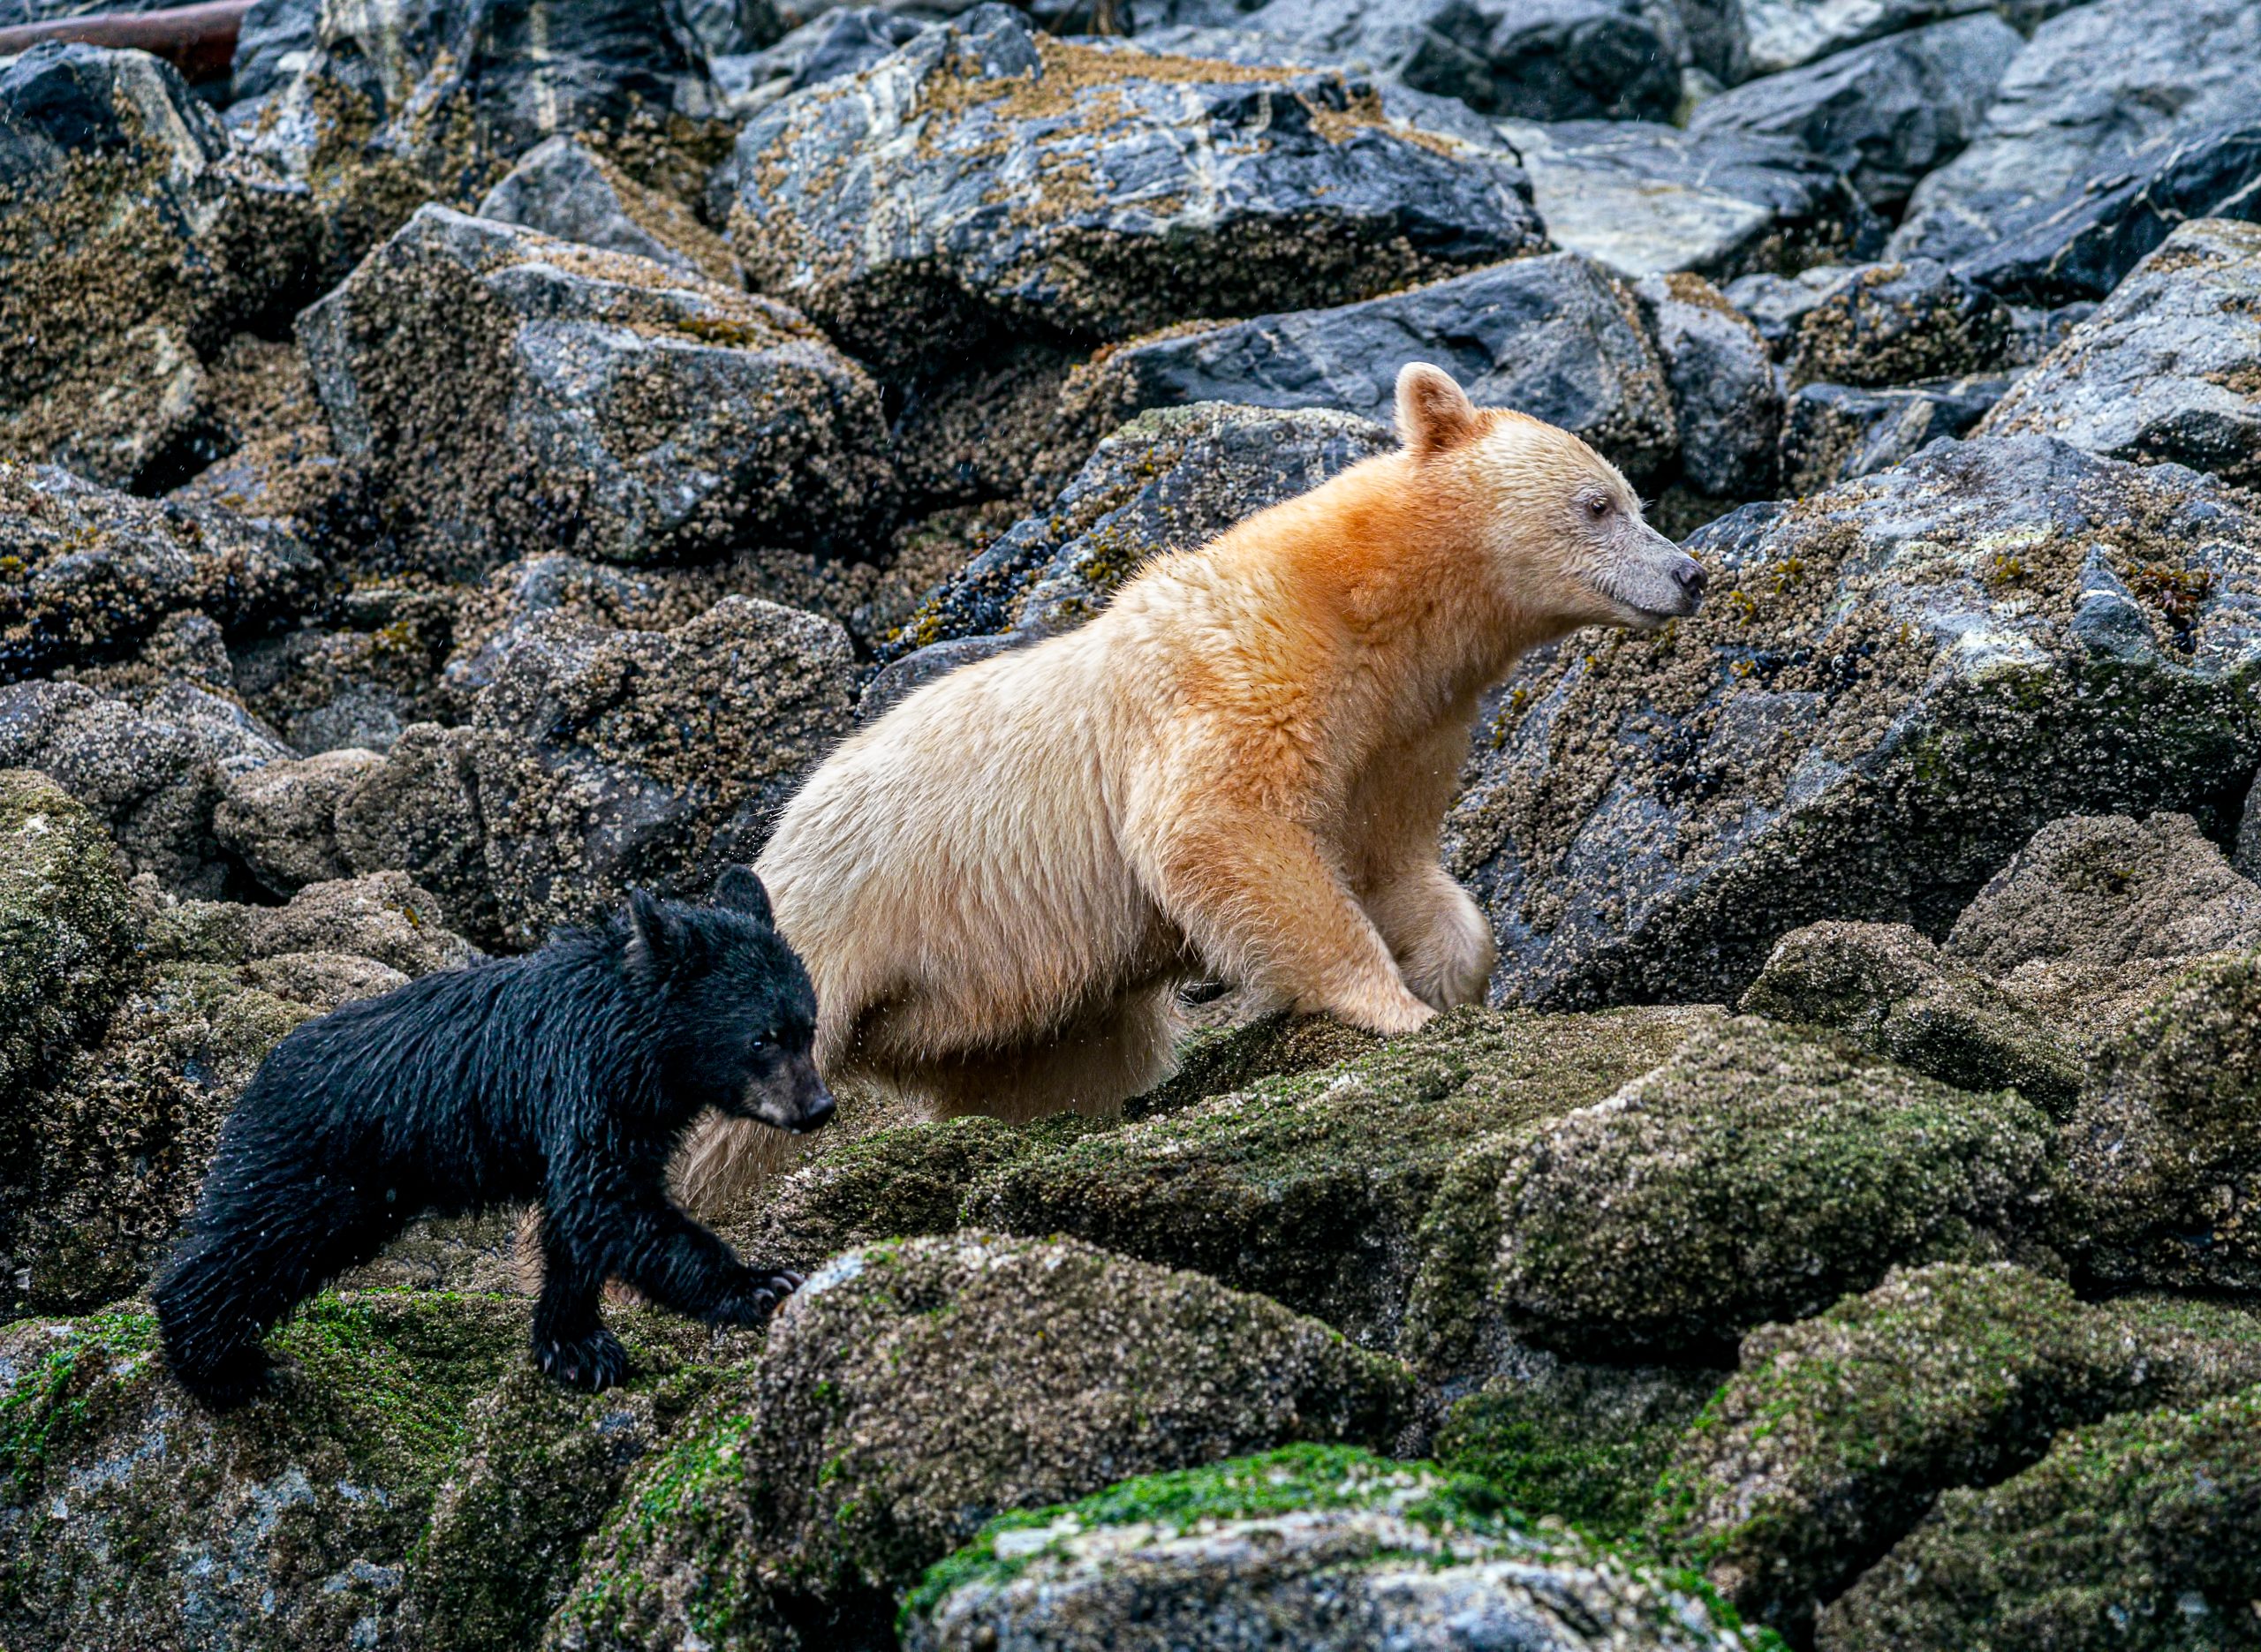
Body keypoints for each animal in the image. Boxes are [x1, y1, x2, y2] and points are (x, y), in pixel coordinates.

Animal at [154, 868, 832, 1407]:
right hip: (315, 1162)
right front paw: (760, 1283)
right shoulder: (583, 1081)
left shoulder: (627, 1114)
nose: (818, 1107)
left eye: (808, 1025)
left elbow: (582, 1217)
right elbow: (605, 1201)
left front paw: (575, 1346)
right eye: (761, 1037)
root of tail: (260, 1072)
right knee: (253, 1242)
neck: (636, 1040)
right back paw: (218, 1365)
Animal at [679, 363, 1705, 1208]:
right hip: (832, 924)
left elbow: (1387, 861)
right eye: (1599, 503)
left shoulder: (1400, 736)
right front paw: (1391, 1008)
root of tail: (784, 827)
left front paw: (1444, 972)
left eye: (1632, 496)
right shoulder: (1243, 674)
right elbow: (1224, 825)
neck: (1366, 606)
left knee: (1067, 1066)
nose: (1689, 571)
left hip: (1013, 1009)